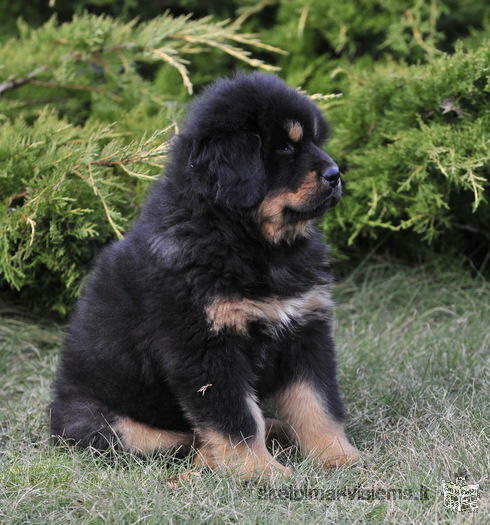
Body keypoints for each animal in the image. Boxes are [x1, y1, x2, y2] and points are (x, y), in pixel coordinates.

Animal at [49, 71, 360, 476]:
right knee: (178, 440)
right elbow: (235, 417)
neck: (252, 242)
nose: (336, 175)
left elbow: (317, 403)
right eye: (285, 148)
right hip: (112, 425)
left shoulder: (304, 328)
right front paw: (260, 471)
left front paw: (339, 457)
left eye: (314, 141)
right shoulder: (205, 346)